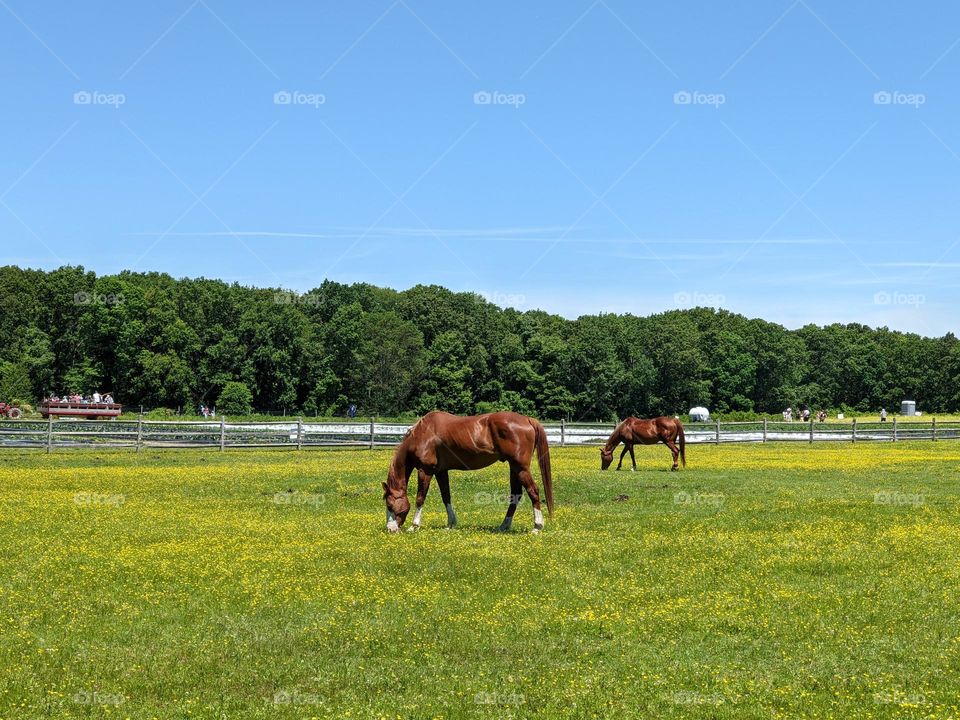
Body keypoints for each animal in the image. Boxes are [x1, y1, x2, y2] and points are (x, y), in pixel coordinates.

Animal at [382, 410, 556, 536]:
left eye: (390, 505)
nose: (390, 529)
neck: (423, 433)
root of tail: (527, 420)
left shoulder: (425, 471)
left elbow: (420, 498)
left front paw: (414, 526)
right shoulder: (441, 471)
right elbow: (446, 496)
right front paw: (451, 524)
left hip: (520, 468)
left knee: (533, 491)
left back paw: (537, 526)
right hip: (514, 467)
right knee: (516, 495)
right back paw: (503, 526)